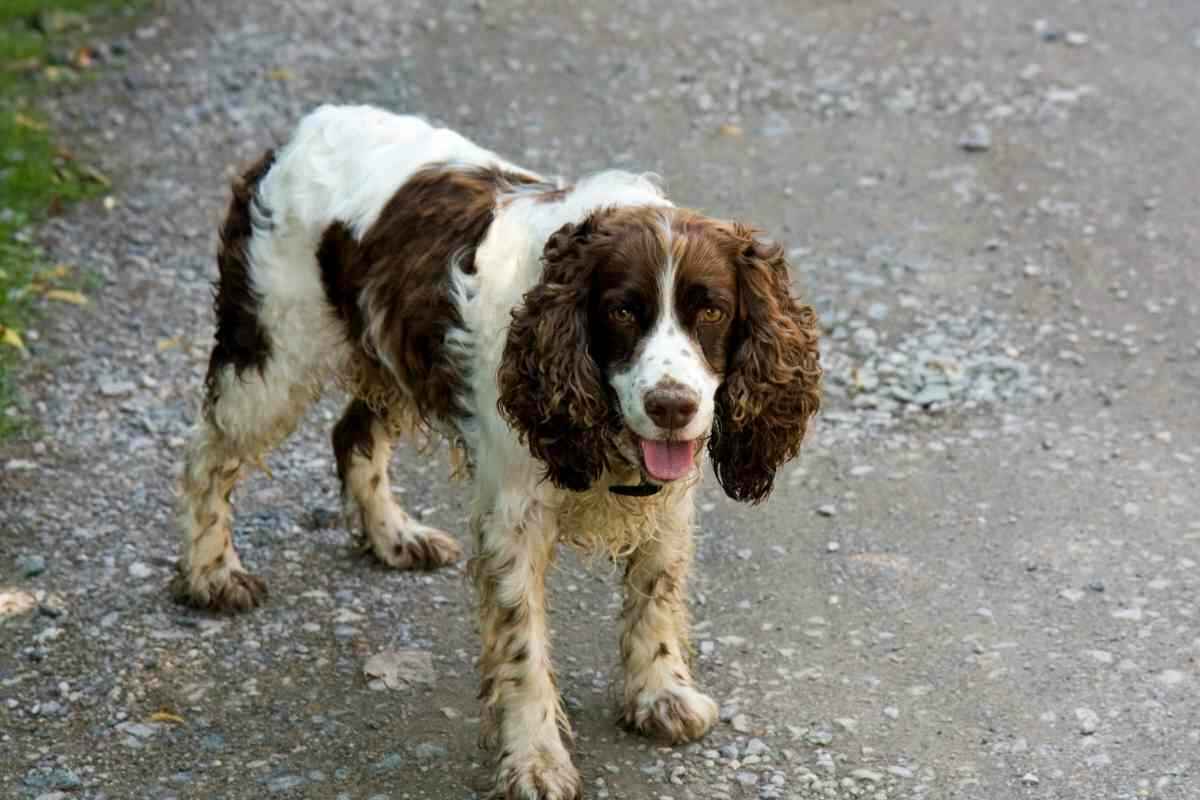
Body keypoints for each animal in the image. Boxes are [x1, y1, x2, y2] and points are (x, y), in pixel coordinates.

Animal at [174, 106, 820, 800]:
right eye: (623, 311)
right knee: (205, 457)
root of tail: (294, 134)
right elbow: (522, 648)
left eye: (713, 311)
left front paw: (660, 697)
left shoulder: (668, 503)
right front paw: (535, 760)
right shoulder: (514, 518)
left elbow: (656, 596)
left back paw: (394, 538)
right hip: (272, 355)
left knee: (350, 435)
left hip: (388, 350)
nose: (672, 405)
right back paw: (212, 574)